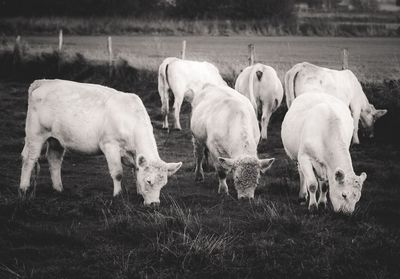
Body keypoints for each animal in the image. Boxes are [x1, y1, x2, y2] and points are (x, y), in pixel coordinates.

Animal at [18, 79, 181, 206]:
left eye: (163, 184)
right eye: (149, 181)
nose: (154, 204)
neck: (131, 119)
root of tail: (44, 82)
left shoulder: (135, 154)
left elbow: (136, 171)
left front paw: (139, 194)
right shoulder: (110, 145)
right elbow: (117, 173)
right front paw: (117, 195)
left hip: (56, 139)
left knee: (54, 160)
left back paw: (58, 189)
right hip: (35, 134)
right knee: (29, 158)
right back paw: (24, 188)